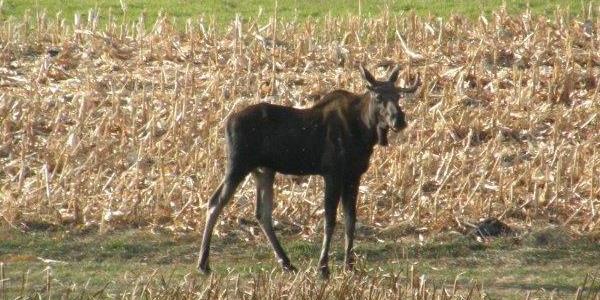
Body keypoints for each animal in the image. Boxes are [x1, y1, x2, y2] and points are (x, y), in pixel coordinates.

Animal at [199, 64, 420, 278]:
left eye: (398, 96)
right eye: (378, 97)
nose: (399, 119)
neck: (364, 131)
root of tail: (227, 122)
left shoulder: (354, 175)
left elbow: (350, 219)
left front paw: (350, 265)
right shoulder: (332, 173)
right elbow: (330, 220)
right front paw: (323, 267)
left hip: (264, 170)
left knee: (262, 213)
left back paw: (286, 263)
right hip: (237, 165)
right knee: (215, 201)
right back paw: (203, 263)